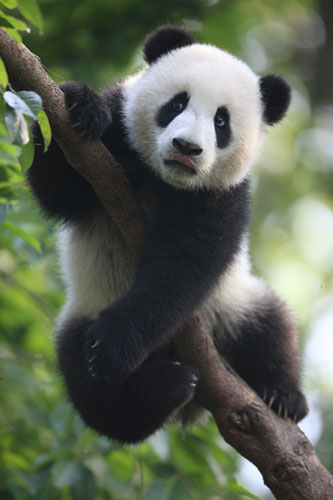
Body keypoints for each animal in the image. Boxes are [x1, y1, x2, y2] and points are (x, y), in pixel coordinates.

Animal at [27, 25, 308, 444]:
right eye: (177, 103)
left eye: (221, 122)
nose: (186, 148)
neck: (162, 179)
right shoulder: (114, 143)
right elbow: (59, 188)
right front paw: (81, 105)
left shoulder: (222, 195)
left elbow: (183, 266)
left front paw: (115, 343)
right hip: (80, 316)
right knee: (96, 395)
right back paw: (167, 386)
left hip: (232, 306)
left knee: (270, 329)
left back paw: (282, 396)